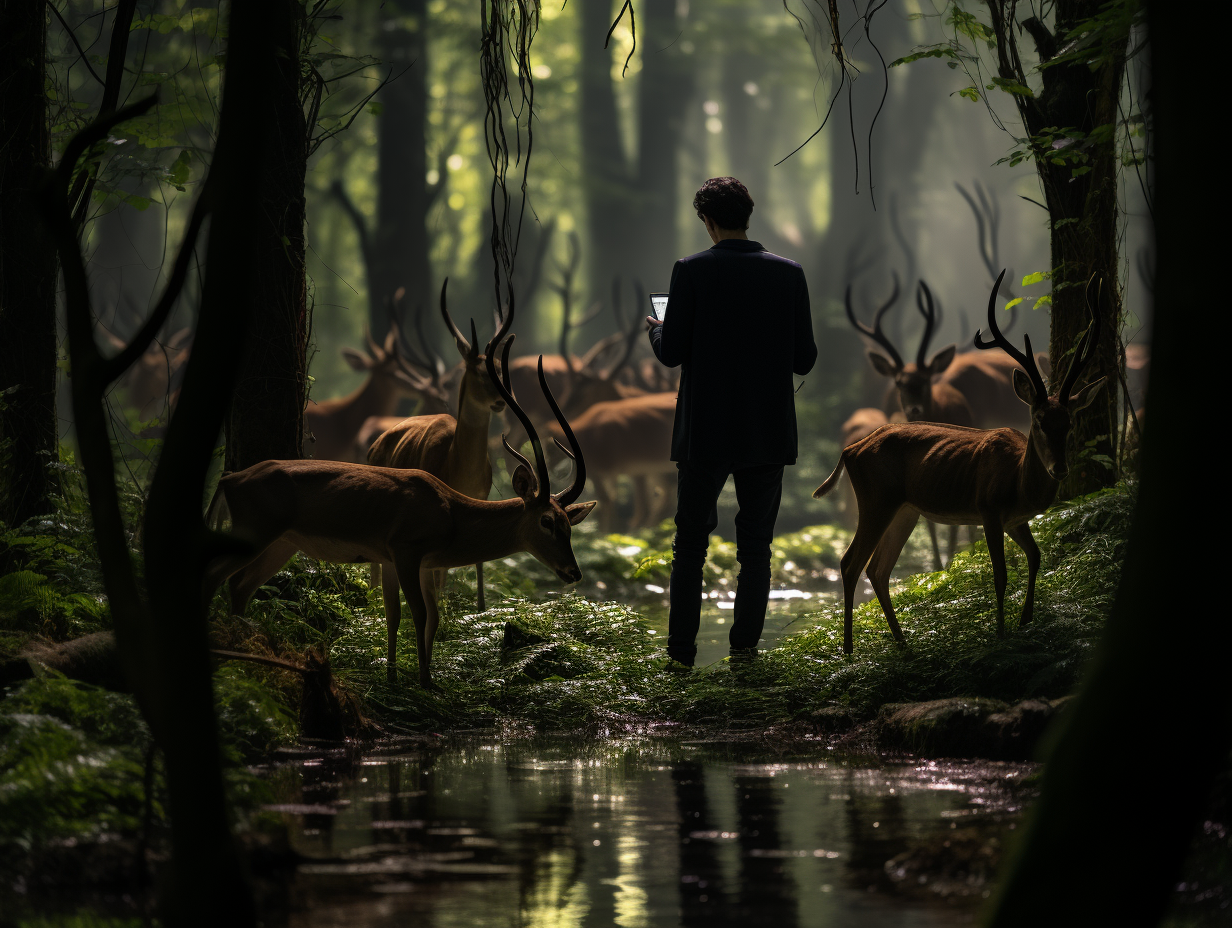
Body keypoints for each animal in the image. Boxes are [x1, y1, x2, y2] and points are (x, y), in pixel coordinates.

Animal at [204, 317, 598, 690]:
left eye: (569, 523)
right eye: (547, 520)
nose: (573, 572)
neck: (451, 510)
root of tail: (230, 479)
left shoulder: (407, 564)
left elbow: (415, 614)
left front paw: (397, 676)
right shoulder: (406, 555)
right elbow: (419, 613)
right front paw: (423, 681)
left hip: (281, 545)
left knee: (240, 586)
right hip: (256, 536)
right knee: (217, 577)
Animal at [362, 282, 507, 616]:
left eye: (498, 368)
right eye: (478, 372)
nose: (502, 400)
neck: (457, 469)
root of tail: (375, 443)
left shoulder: (481, 500)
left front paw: (481, 606)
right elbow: (437, 571)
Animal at [813, 271, 1103, 655]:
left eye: (1069, 422)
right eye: (1039, 420)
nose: (1060, 469)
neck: (1018, 483)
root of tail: (850, 450)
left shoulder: (1016, 520)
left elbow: (1036, 557)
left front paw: (1025, 621)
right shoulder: (989, 509)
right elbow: (1000, 574)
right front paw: (1000, 634)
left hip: (905, 510)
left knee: (878, 568)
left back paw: (903, 642)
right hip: (876, 501)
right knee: (850, 562)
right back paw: (848, 650)